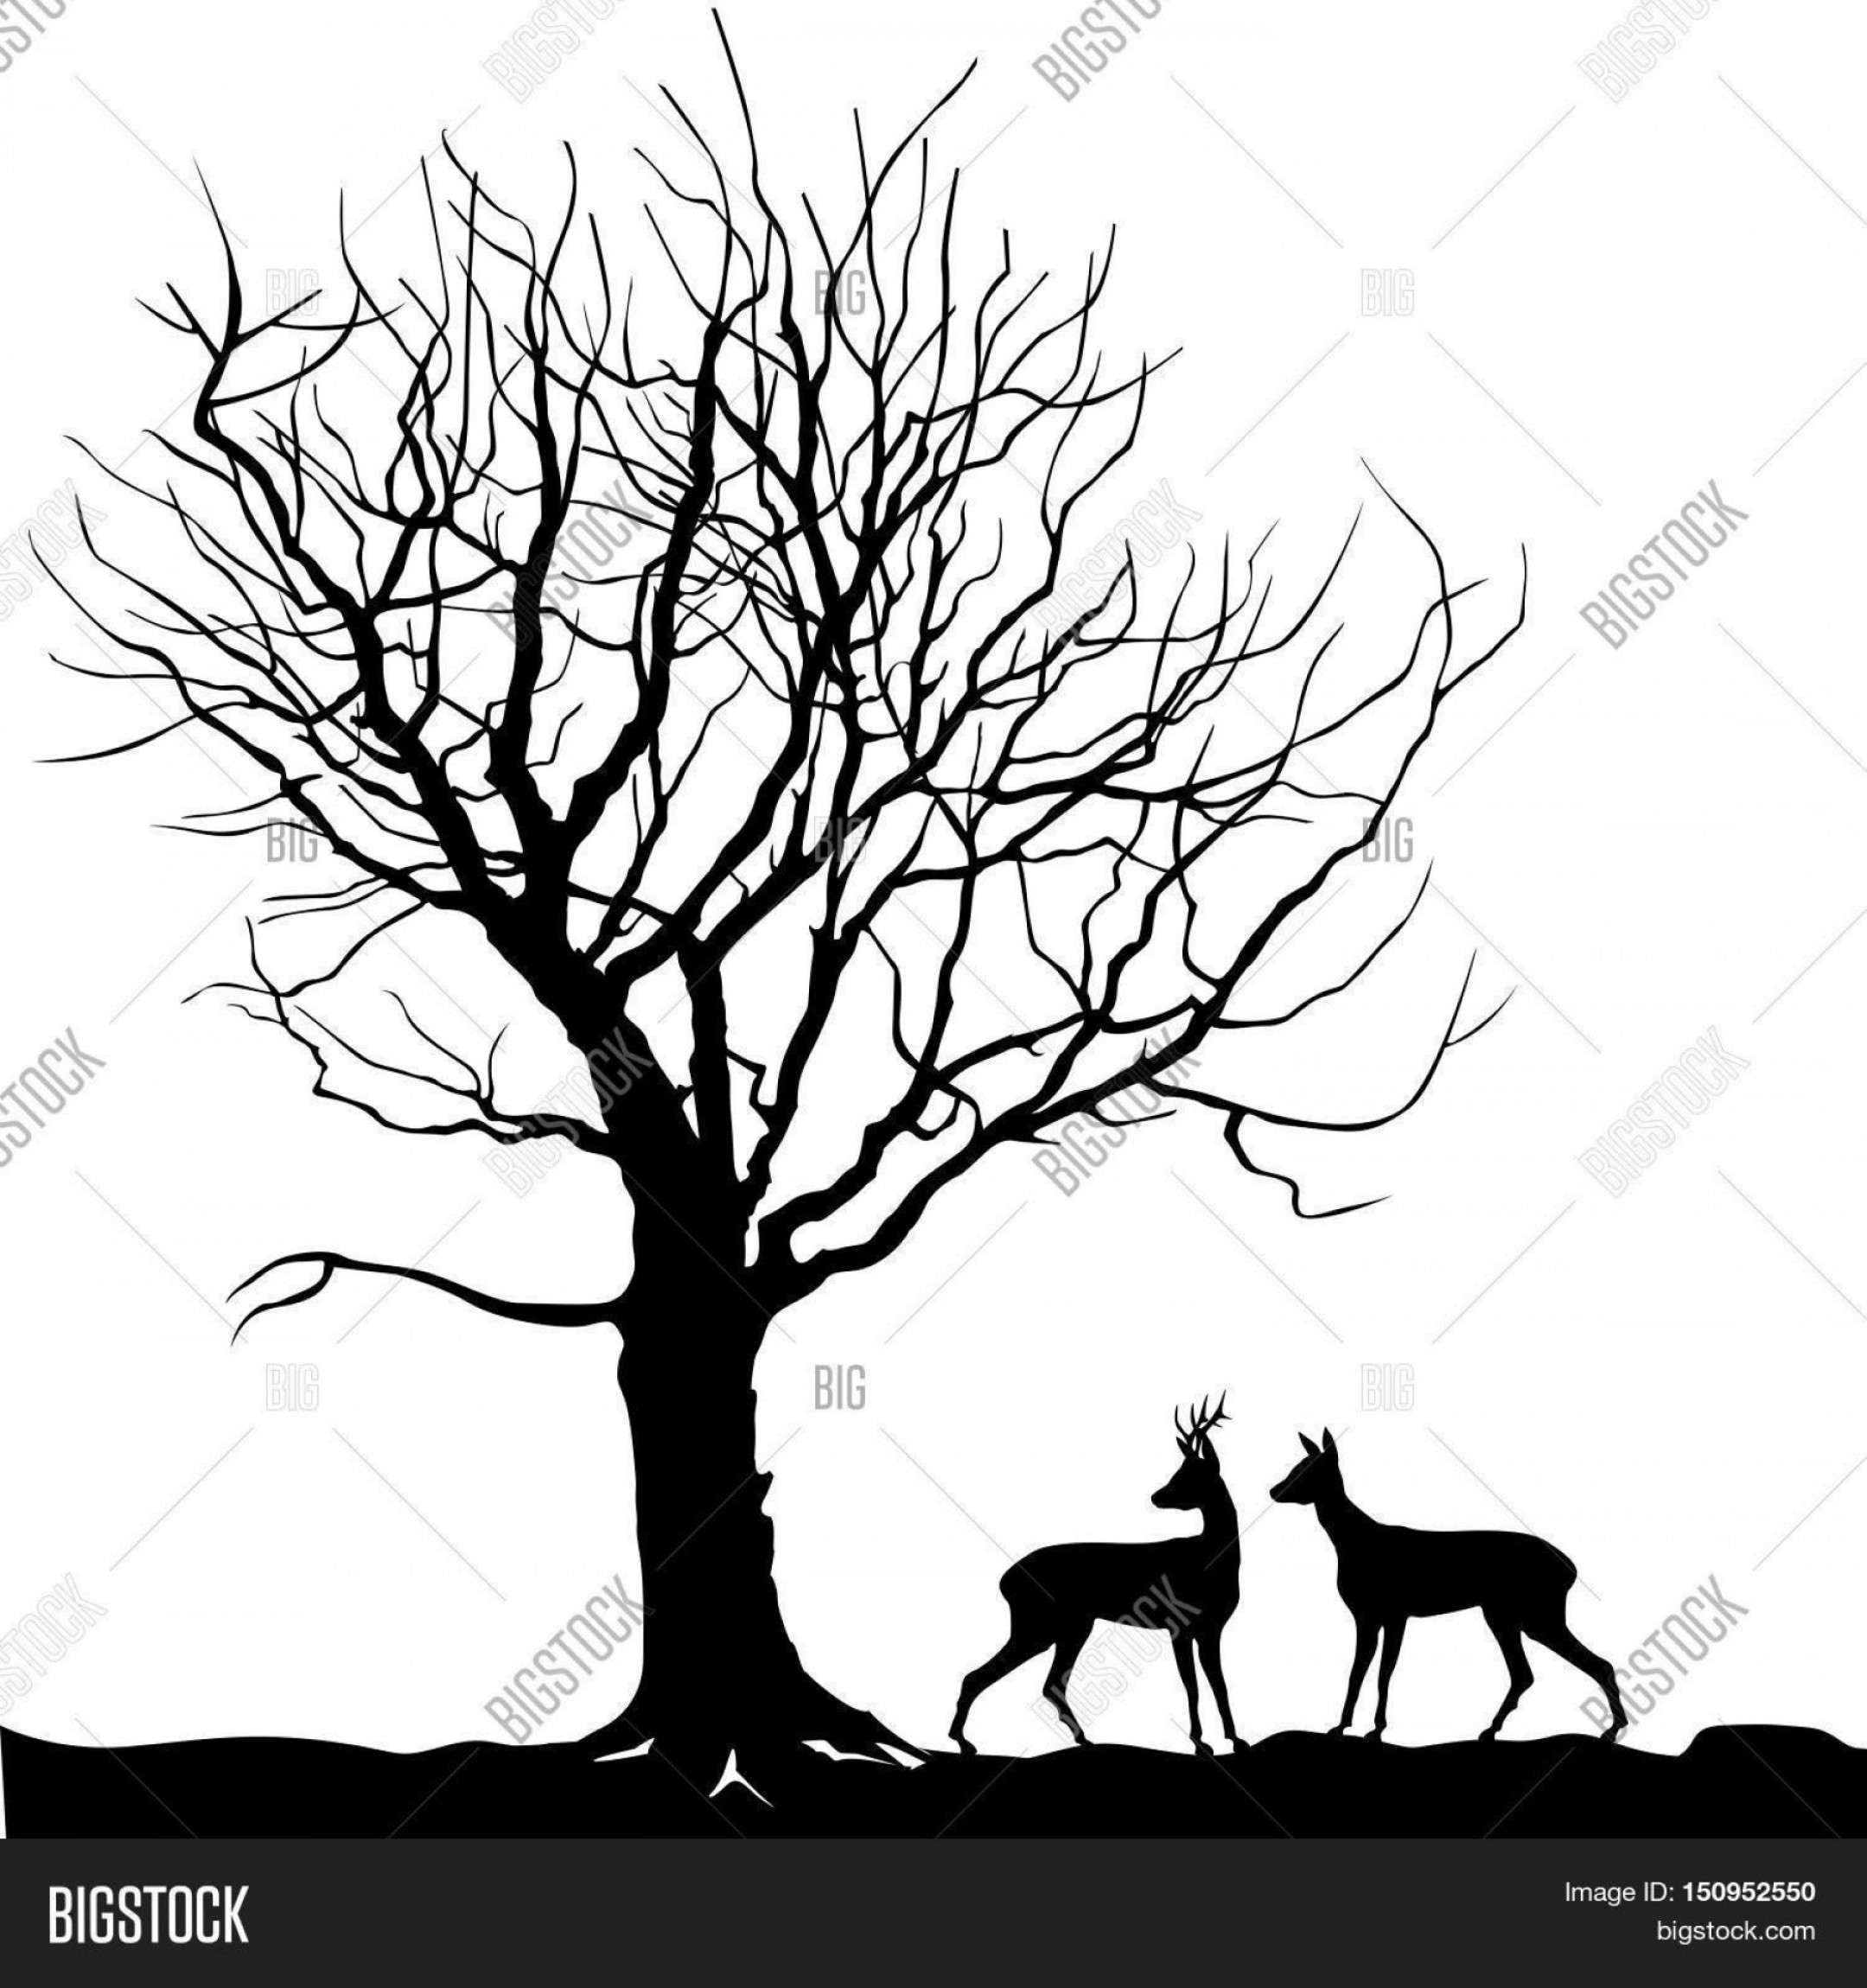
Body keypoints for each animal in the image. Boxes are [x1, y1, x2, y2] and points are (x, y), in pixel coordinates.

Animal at [950, 1397, 1243, 1756]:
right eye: (1179, 1471)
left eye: (1192, 1474)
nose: (1156, 1496)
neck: (1211, 1561)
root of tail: (1004, 1581)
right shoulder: (1179, 1625)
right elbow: (1192, 1685)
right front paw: (1201, 1743)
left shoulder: (1212, 1628)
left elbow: (1220, 1684)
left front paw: (1236, 1739)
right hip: (1039, 1626)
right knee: (981, 1676)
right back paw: (963, 1742)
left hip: (1071, 1625)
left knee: (1050, 1682)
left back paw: (1081, 1738)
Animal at [1269, 1429, 1627, 1743]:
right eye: (1297, 1465)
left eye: (1308, 1469)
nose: (1274, 1491)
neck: (1353, 1543)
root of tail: (1571, 1570)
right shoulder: (1368, 1615)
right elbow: (1358, 1671)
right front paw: (1342, 1726)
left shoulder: (1394, 1613)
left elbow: (1384, 1672)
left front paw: (1376, 1729)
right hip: (1512, 1616)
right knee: (1532, 1672)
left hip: (1532, 1616)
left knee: (1578, 1666)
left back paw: (1607, 1730)